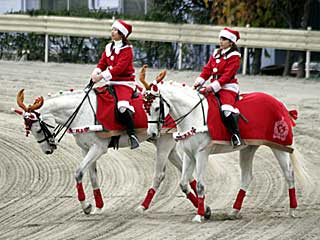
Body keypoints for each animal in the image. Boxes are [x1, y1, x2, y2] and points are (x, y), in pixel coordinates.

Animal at [11, 68, 210, 217]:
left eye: (37, 129)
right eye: (31, 131)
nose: (48, 150)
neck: (81, 111)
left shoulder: (98, 148)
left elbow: (78, 173)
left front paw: (86, 206)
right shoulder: (86, 149)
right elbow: (92, 176)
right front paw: (98, 205)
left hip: (163, 144)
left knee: (160, 175)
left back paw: (143, 206)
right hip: (166, 144)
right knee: (186, 173)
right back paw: (203, 207)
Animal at [141, 70, 306, 222]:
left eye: (156, 108)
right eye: (145, 108)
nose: (152, 133)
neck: (193, 115)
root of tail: (280, 104)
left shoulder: (201, 153)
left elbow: (200, 185)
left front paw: (200, 215)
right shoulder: (189, 154)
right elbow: (183, 183)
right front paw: (205, 211)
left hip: (278, 146)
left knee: (289, 174)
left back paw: (292, 210)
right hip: (248, 148)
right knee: (247, 177)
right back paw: (234, 211)